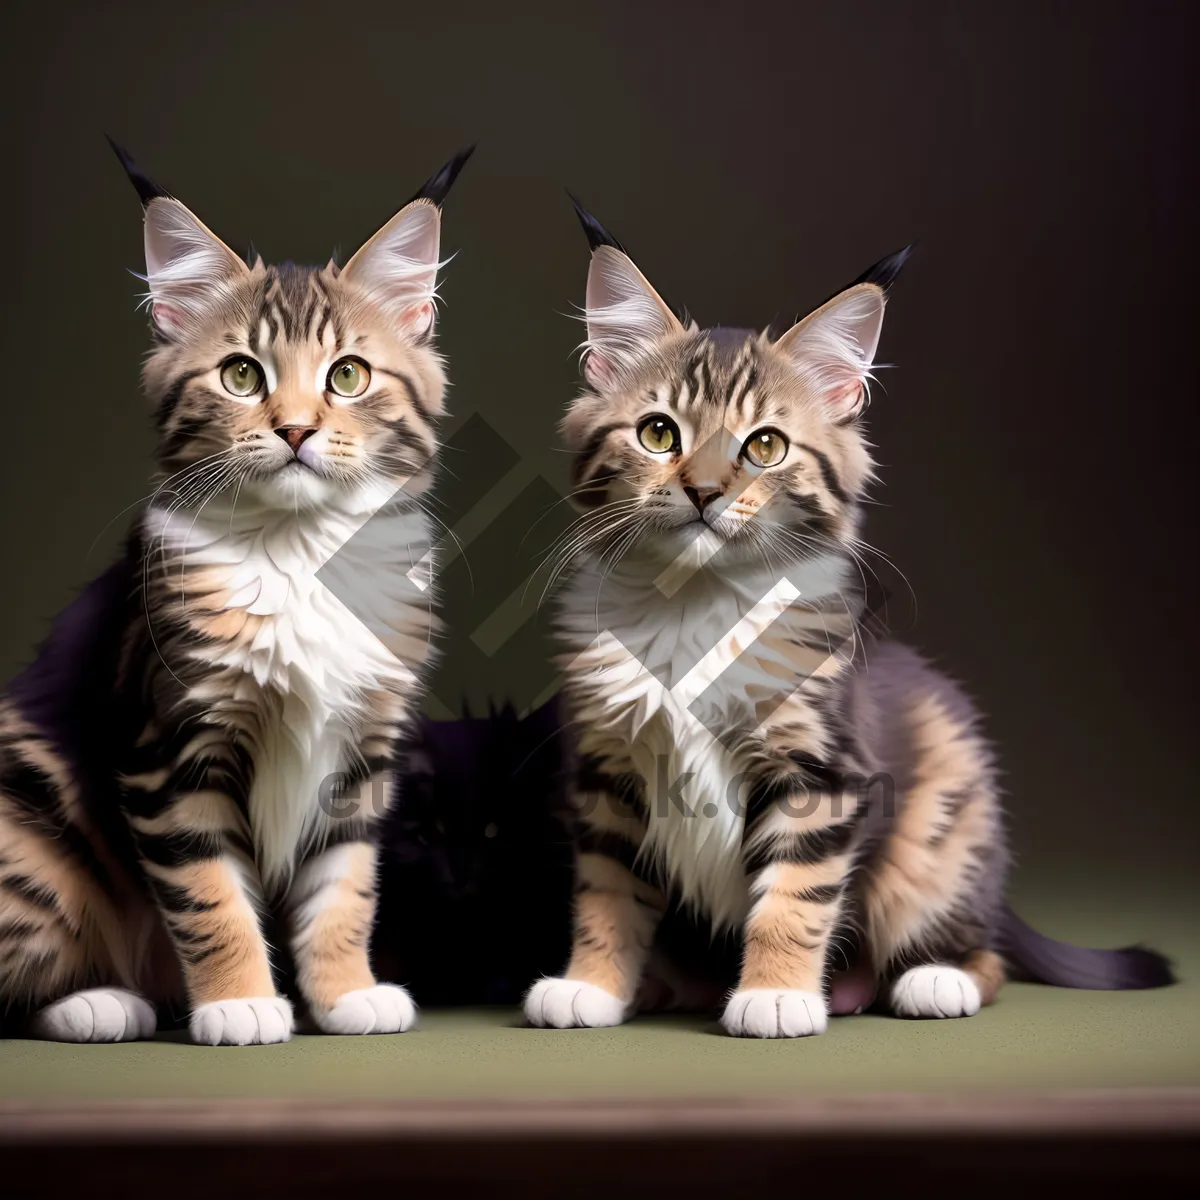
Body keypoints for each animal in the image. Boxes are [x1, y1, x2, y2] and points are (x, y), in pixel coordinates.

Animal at [0, 138, 470, 1041]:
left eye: (348, 376)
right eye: (242, 376)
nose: (295, 429)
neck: (298, 556)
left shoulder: (361, 753)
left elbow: (346, 890)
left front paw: (346, 993)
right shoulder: (170, 748)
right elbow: (209, 895)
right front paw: (241, 1002)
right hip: (27, 821)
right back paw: (98, 1002)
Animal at [528, 201, 1171, 1036]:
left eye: (765, 446)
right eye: (659, 433)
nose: (704, 491)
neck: (694, 607)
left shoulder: (822, 772)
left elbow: (794, 899)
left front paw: (775, 995)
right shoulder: (609, 775)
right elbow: (607, 895)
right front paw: (593, 985)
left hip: (938, 839)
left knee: (984, 953)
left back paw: (928, 981)